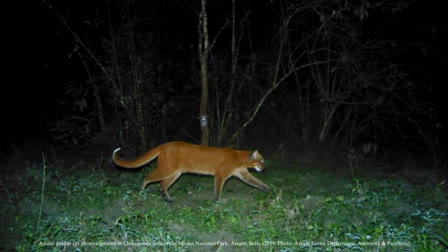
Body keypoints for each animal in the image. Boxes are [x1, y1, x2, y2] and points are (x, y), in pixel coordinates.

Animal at [113, 141, 270, 202]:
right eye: (261, 160)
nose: (264, 168)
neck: (239, 157)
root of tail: (164, 145)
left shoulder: (243, 174)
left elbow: (257, 182)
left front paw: (268, 189)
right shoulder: (220, 175)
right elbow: (218, 189)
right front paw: (217, 201)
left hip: (175, 173)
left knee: (162, 185)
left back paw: (169, 200)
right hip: (167, 169)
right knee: (147, 177)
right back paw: (141, 191)